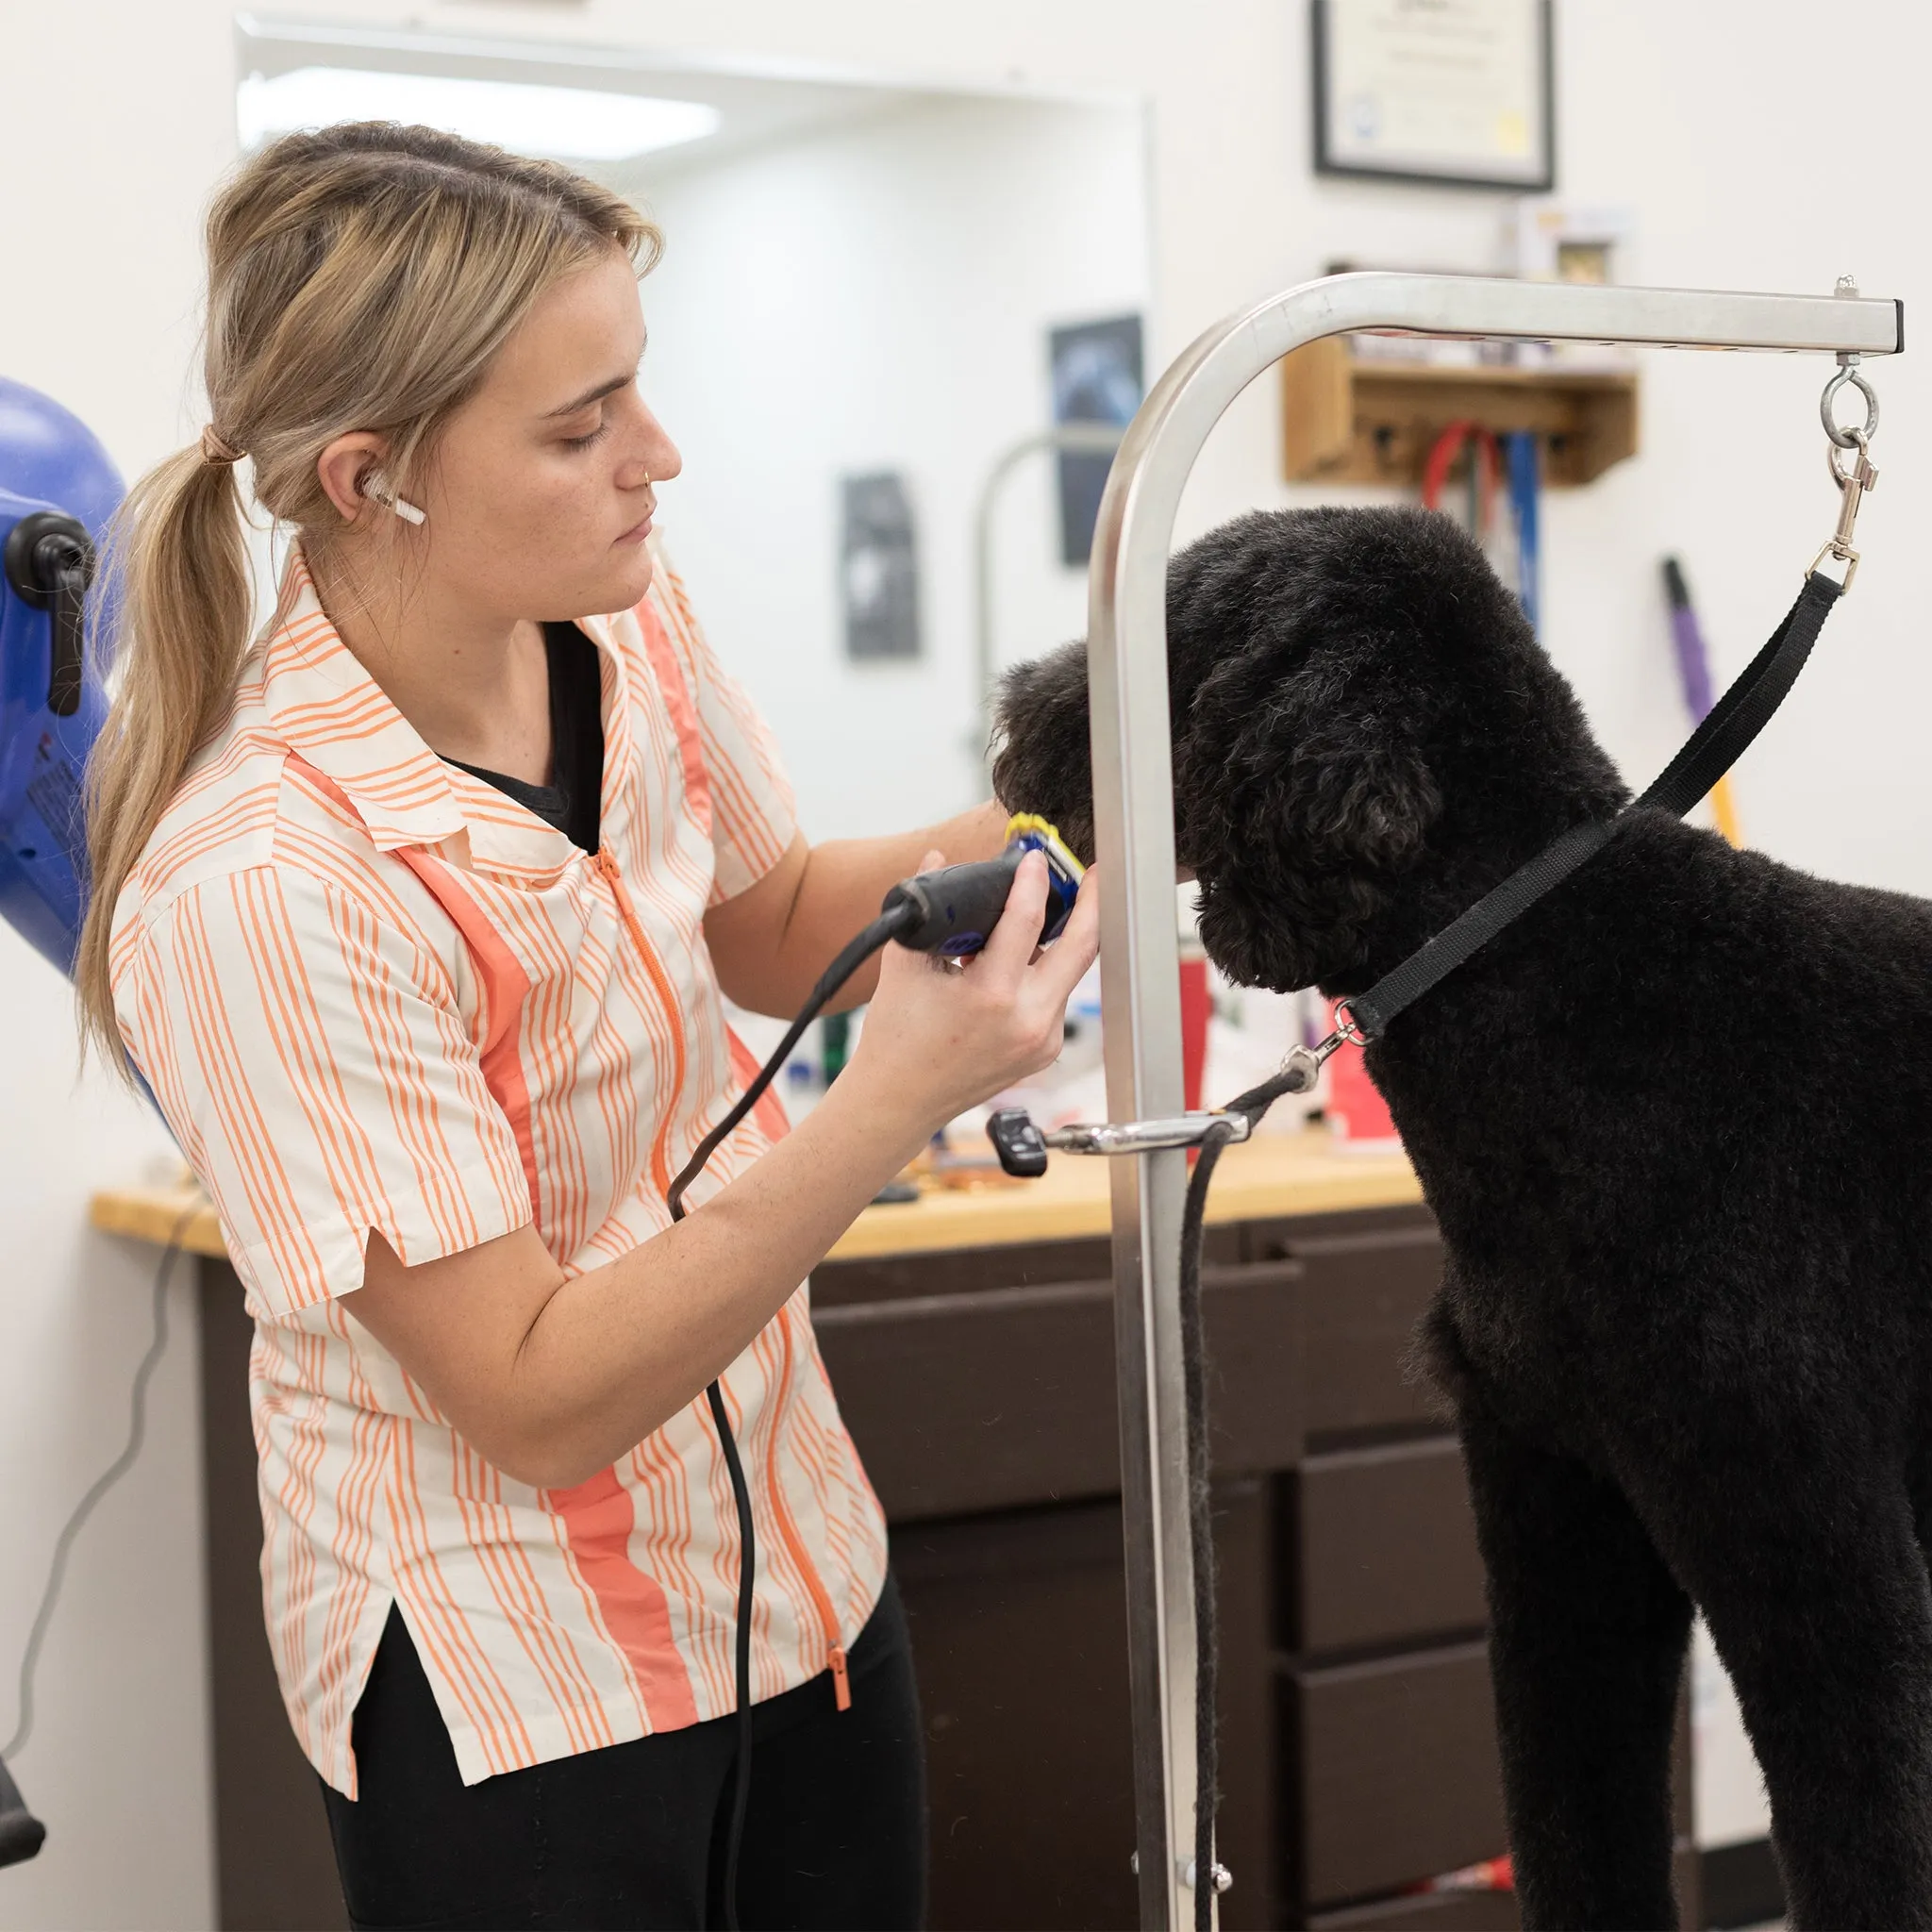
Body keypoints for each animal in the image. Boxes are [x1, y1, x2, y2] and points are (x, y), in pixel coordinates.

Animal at [996, 506, 1932, 1924]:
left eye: (1180, 609)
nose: (1010, 711)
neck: (1561, 983)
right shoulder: (1553, 1514)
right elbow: (1568, 1821)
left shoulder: (1824, 1557)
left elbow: (1871, 1847)